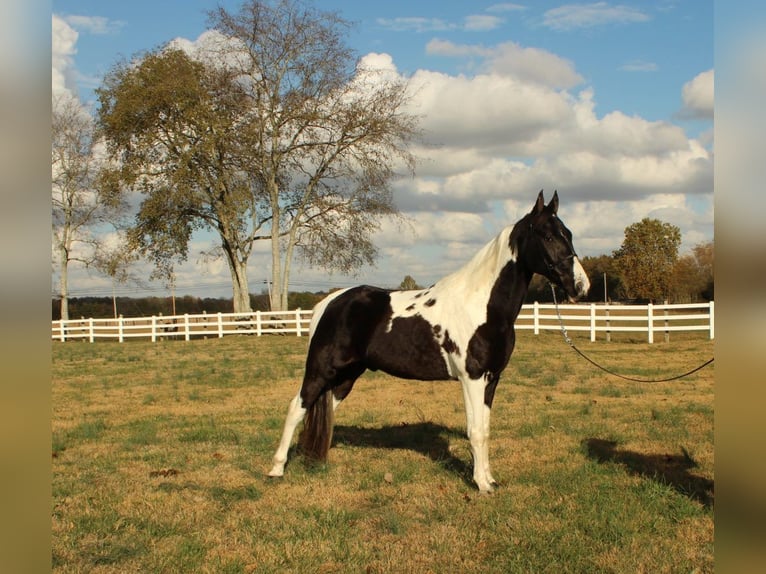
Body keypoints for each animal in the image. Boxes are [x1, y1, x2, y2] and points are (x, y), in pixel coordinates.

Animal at [268, 191, 592, 492]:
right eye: (548, 235)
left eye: (569, 234)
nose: (580, 286)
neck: (483, 305)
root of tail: (330, 303)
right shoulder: (472, 378)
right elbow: (475, 431)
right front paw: (481, 485)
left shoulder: (492, 379)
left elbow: (485, 429)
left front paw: (489, 479)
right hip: (321, 370)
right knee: (296, 407)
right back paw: (276, 469)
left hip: (346, 376)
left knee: (324, 412)